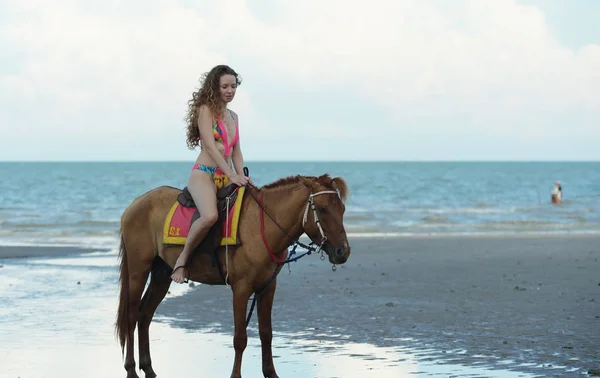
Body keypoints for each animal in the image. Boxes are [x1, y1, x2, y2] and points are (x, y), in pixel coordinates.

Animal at [115, 173, 350, 376]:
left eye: (342, 209)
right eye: (322, 209)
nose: (343, 252)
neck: (261, 226)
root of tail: (134, 205)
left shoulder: (267, 288)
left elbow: (266, 333)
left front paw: (270, 373)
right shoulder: (241, 289)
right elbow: (240, 338)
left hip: (162, 274)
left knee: (145, 314)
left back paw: (148, 368)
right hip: (138, 270)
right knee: (131, 316)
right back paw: (130, 369)